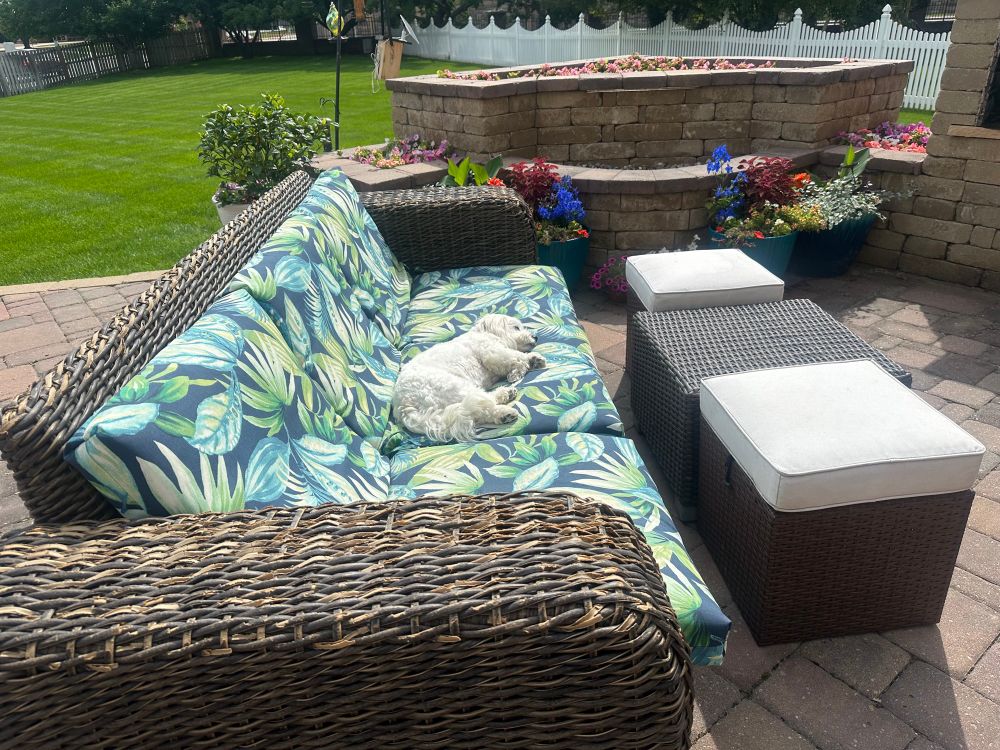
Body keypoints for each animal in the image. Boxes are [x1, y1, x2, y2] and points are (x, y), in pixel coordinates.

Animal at [392, 314, 546, 442]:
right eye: (516, 327)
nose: (535, 337)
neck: (486, 333)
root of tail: (403, 404)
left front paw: (520, 369)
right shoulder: (491, 351)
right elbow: (515, 356)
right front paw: (533, 359)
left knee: (478, 410)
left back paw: (504, 403)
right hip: (453, 386)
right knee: (482, 404)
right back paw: (505, 408)